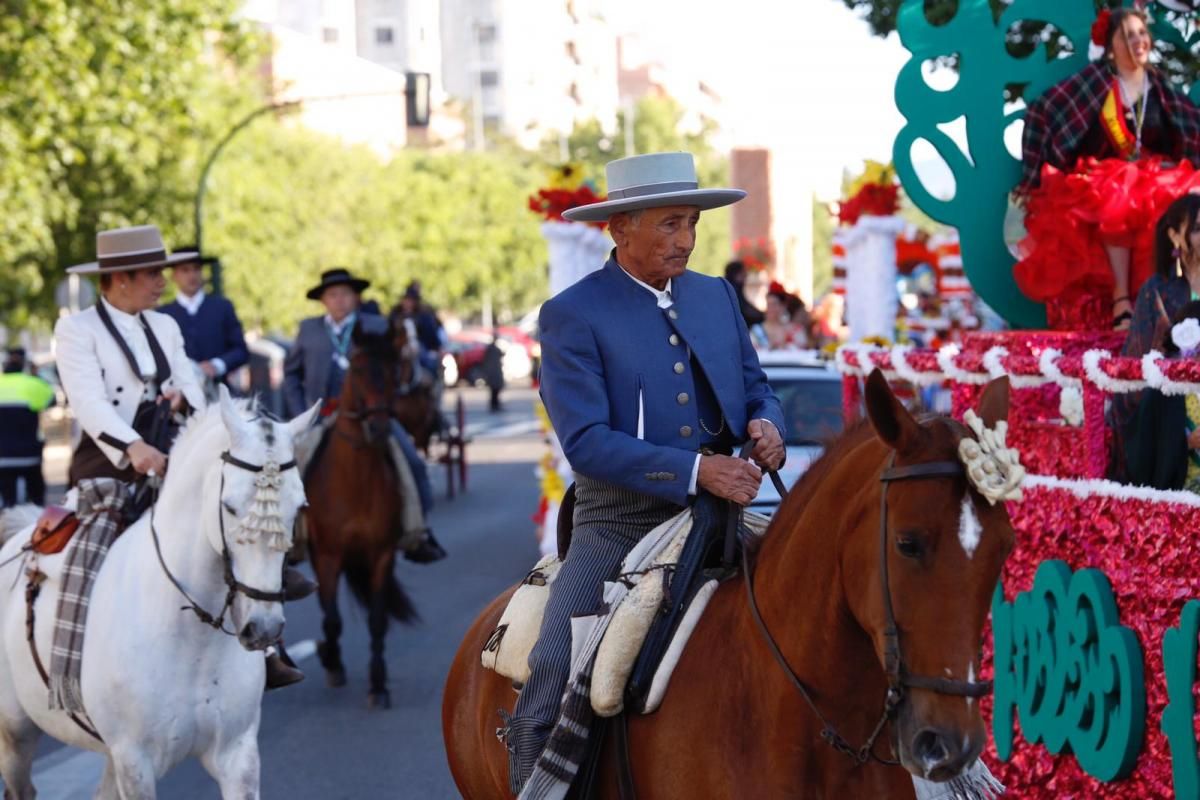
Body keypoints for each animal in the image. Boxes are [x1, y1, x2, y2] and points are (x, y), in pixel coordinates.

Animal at [0, 383, 319, 796]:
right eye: (230, 507)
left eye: (299, 506)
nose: (264, 629)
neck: (191, 638)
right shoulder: (135, 762)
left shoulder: (238, 756)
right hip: (16, 735)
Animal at [304, 316, 417, 710]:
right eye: (357, 369)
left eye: (395, 369)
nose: (378, 427)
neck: (355, 482)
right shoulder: (327, 555)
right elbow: (332, 618)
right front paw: (332, 661)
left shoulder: (381, 554)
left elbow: (377, 620)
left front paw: (378, 685)